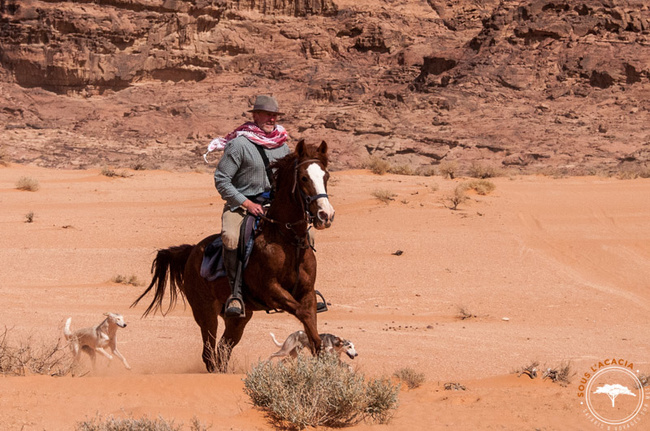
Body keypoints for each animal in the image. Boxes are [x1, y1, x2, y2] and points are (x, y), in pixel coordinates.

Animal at [130, 141, 334, 372]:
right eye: (304, 178)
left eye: (326, 176)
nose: (325, 215)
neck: (286, 240)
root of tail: (192, 251)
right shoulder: (271, 291)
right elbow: (303, 314)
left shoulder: (307, 293)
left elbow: (310, 322)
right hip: (205, 313)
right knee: (209, 352)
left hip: (237, 319)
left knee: (223, 349)